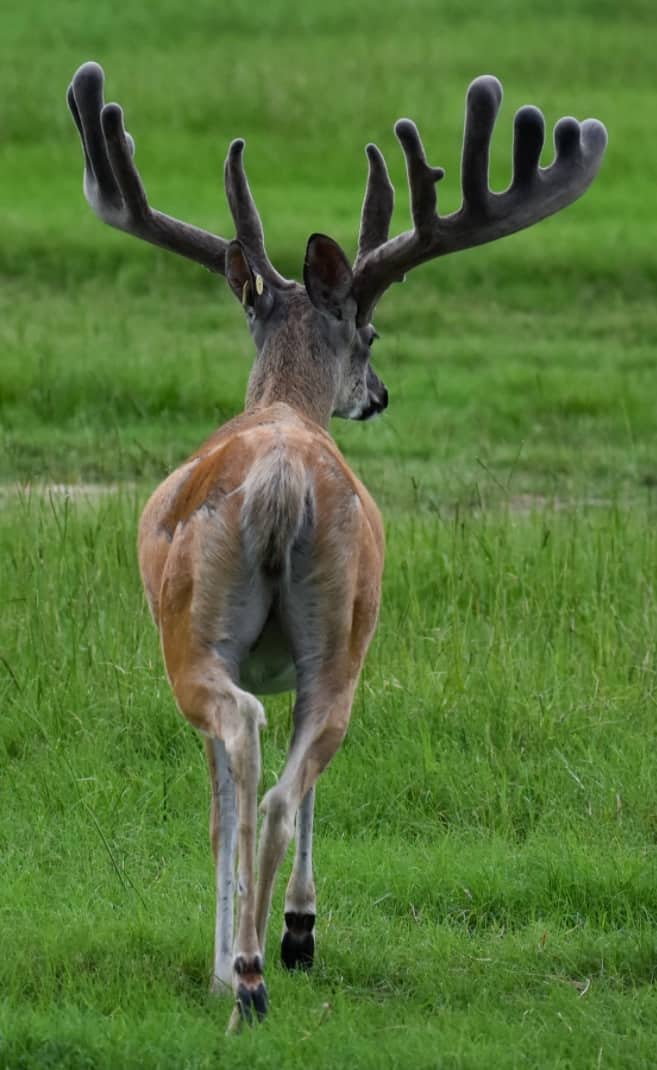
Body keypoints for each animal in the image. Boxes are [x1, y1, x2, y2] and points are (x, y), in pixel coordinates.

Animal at [67, 61, 606, 1027]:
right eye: (371, 332)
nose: (380, 395)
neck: (284, 404)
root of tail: (282, 476)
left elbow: (223, 801)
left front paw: (258, 940)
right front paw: (289, 929)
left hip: (207, 628)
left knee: (251, 756)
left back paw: (244, 970)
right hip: (341, 625)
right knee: (283, 778)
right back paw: (262, 956)